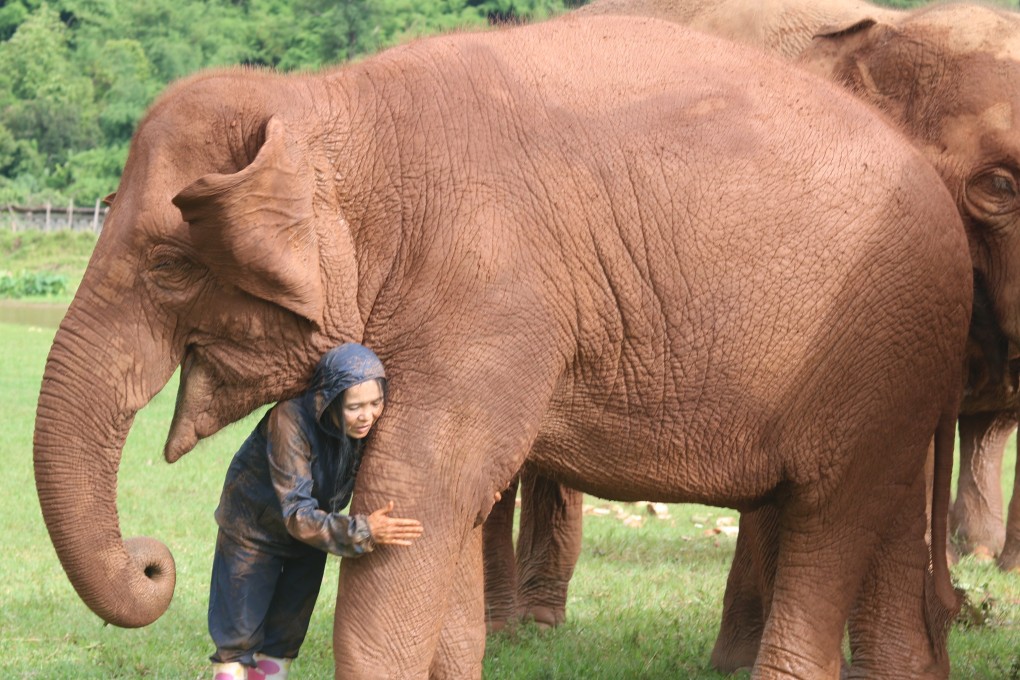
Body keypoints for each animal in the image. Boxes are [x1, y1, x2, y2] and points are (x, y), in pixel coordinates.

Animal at [33, 14, 972, 679]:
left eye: (167, 267)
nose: (153, 562)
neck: (330, 106)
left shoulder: (489, 287)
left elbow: (424, 488)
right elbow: (439, 514)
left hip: (879, 345)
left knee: (831, 515)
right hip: (901, 362)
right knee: (882, 517)